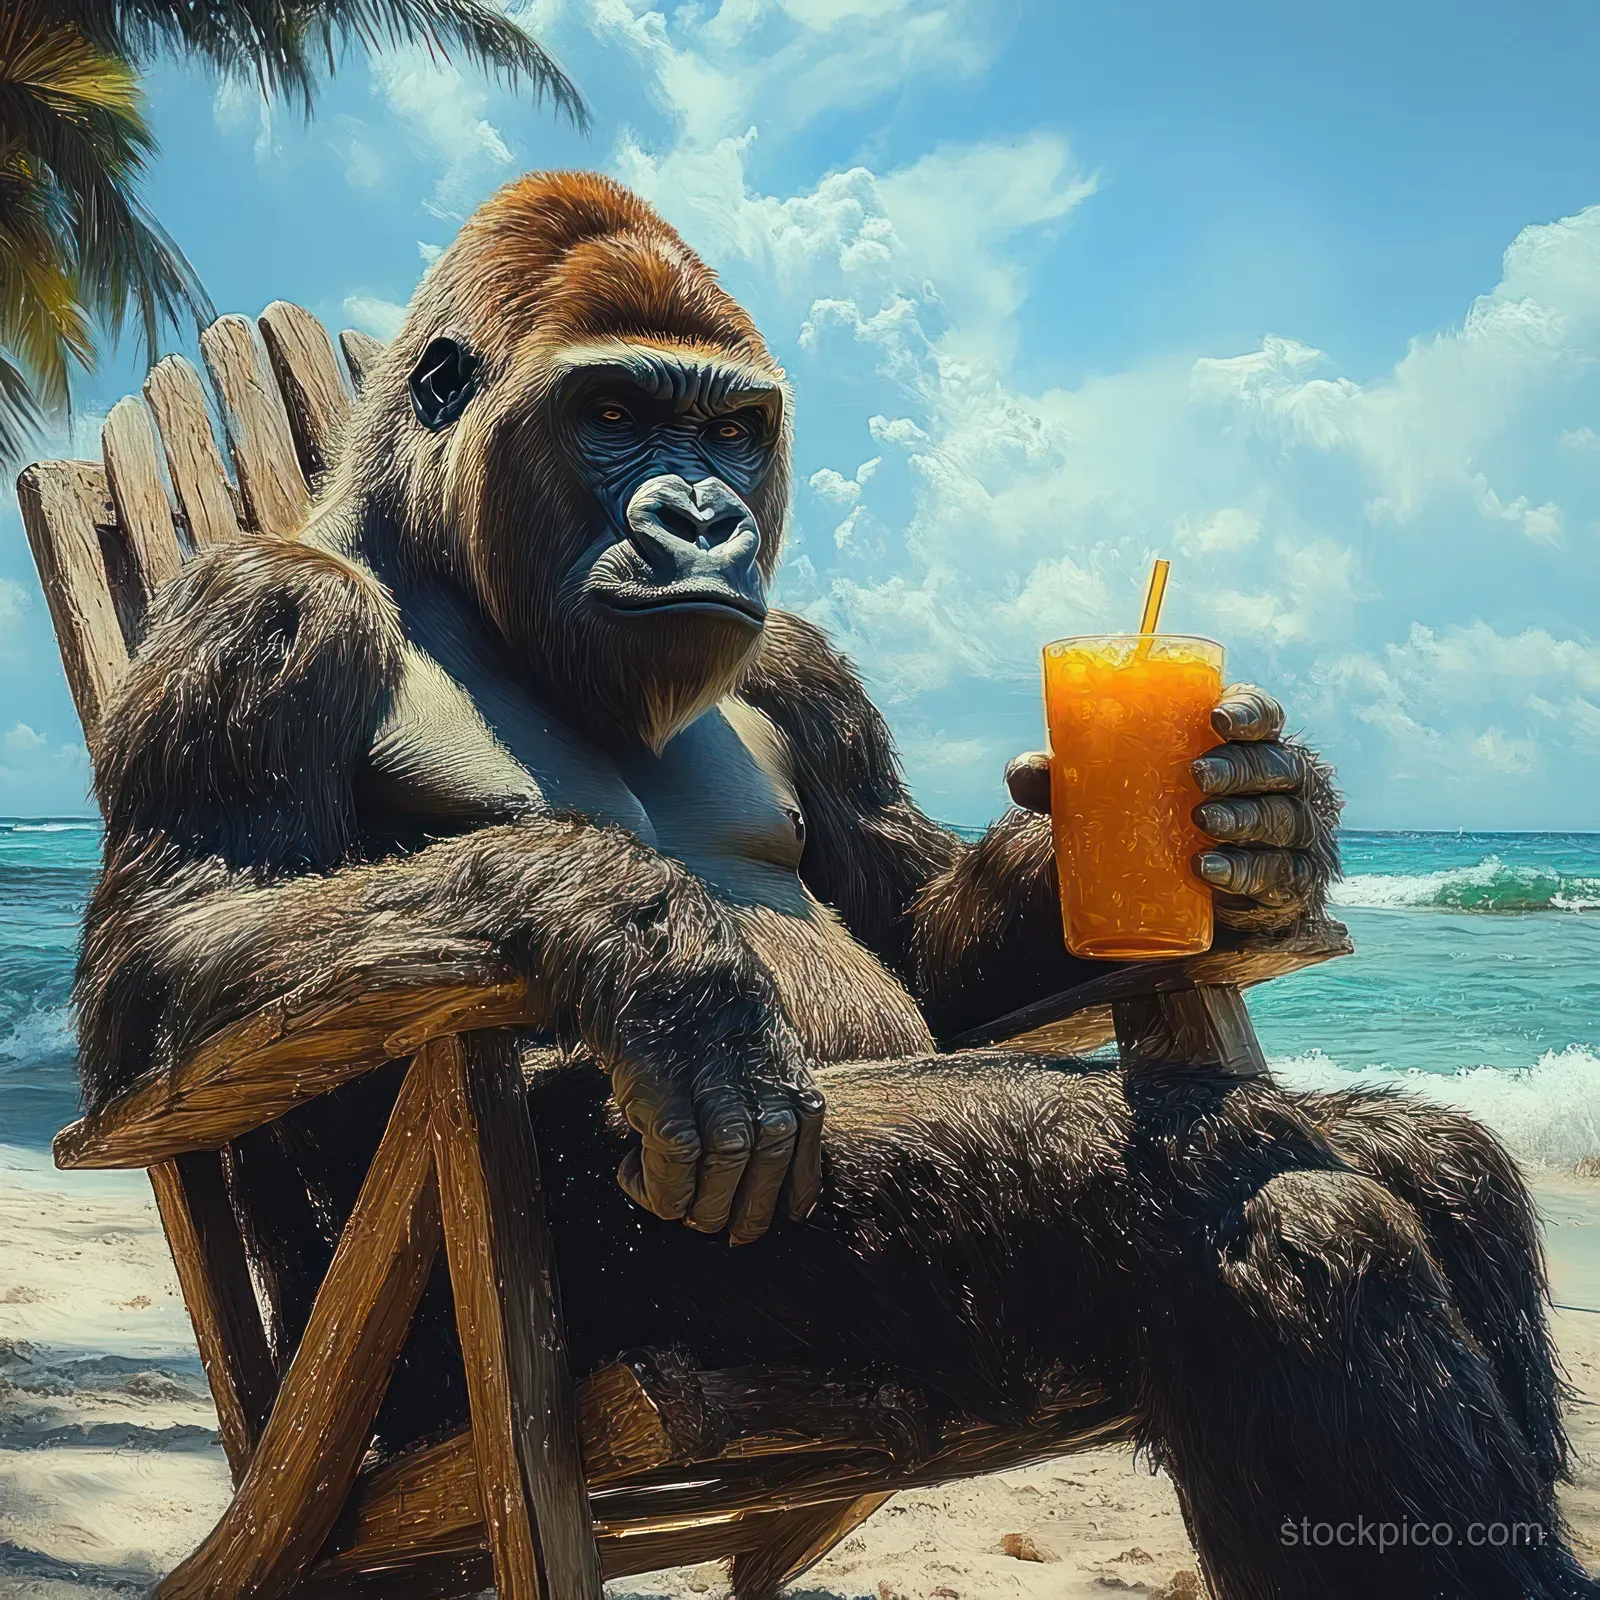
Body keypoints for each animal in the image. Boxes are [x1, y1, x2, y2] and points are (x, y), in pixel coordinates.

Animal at [71, 172, 1588, 1597]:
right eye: (613, 411)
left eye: (731, 431)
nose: (703, 516)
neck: (442, 565)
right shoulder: (265, 611)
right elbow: (176, 956)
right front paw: (635, 931)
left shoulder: (803, 668)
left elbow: (913, 928)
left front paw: (1260, 829)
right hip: (485, 1346)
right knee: (1252, 1188)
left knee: (1423, 1162)